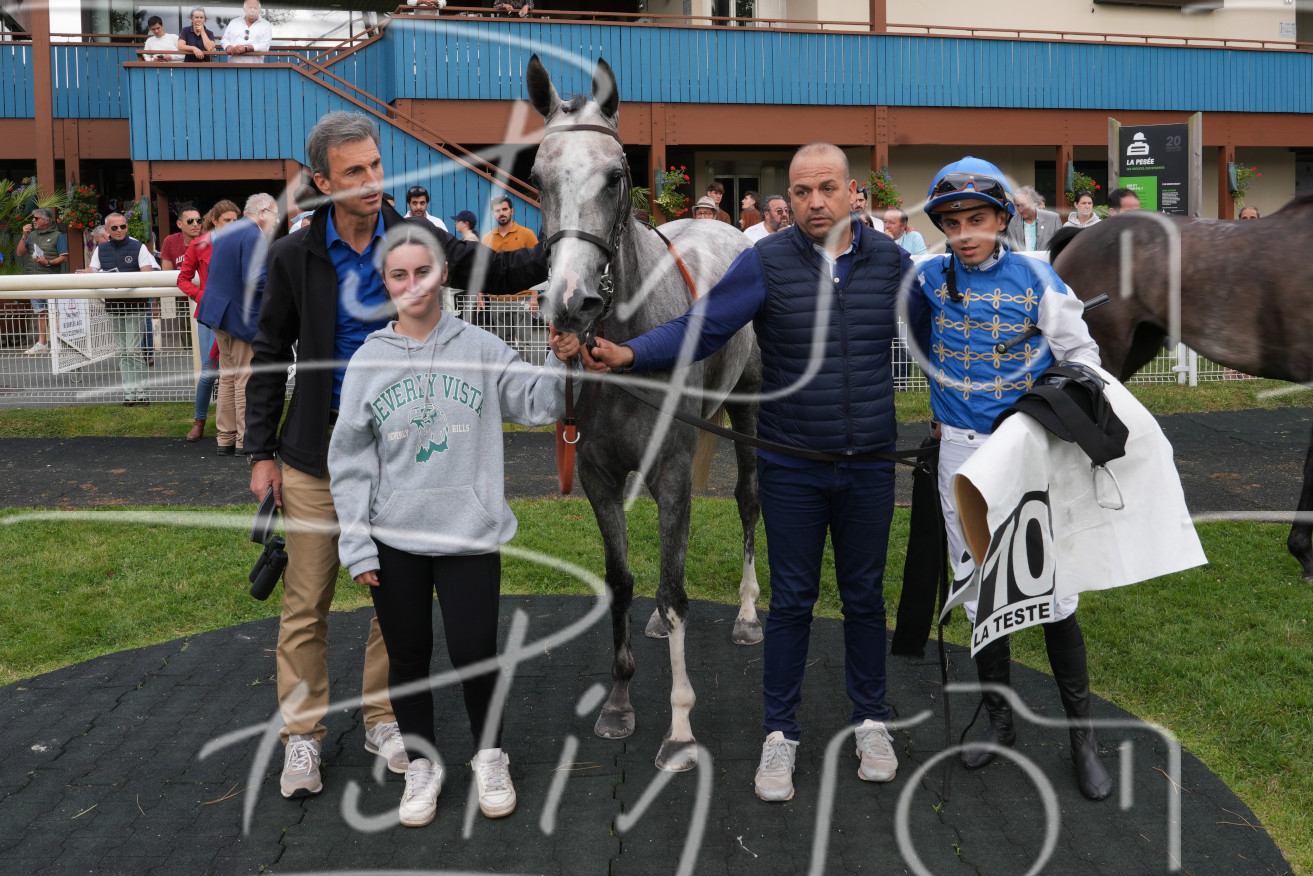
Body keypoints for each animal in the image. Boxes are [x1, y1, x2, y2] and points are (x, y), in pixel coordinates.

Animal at [525, 55, 765, 771]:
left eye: (617, 175)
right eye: (537, 176)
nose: (570, 302)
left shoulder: (673, 475)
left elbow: (675, 590)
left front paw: (680, 731)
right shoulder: (600, 478)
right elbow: (626, 581)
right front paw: (619, 703)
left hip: (747, 411)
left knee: (748, 500)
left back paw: (748, 615)